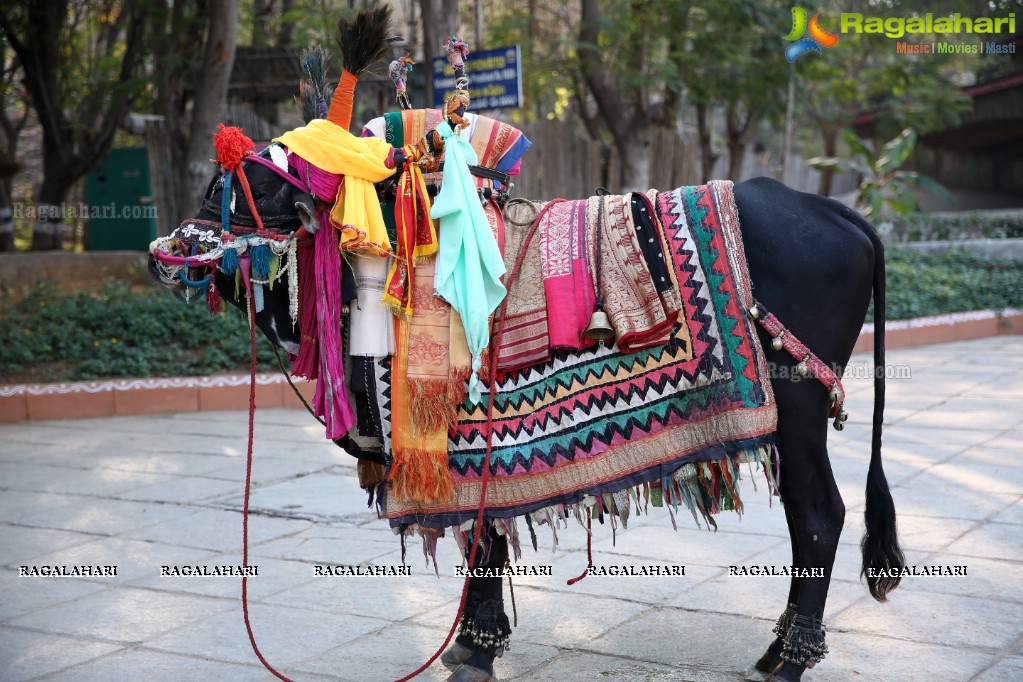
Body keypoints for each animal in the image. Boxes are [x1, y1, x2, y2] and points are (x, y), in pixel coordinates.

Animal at [148, 6, 900, 682]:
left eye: (249, 186)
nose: (165, 253)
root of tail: (835, 210)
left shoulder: (453, 439)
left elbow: (482, 535)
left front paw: (478, 651)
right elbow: (486, 537)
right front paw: (474, 640)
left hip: (798, 408)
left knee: (819, 515)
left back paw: (790, 660)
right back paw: (777, 648)